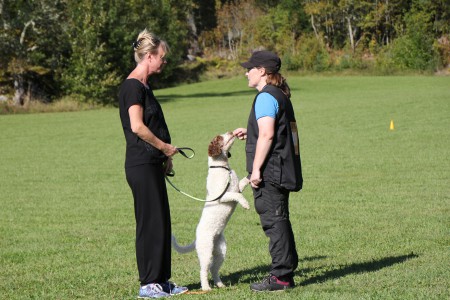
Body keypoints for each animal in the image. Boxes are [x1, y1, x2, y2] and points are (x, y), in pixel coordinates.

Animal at [171, 132, 250, 290]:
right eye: (219, 138)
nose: (231, 132)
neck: (222, 168)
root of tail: (197, 238)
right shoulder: (223, 196)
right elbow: (238, 196)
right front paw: (245, 204)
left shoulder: (237, 187)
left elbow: (243, 183)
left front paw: (252, 177)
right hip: (206, 252)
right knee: (204, 270)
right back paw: (206, 288)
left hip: (221, 251)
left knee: (214, 269)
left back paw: (220, 285)